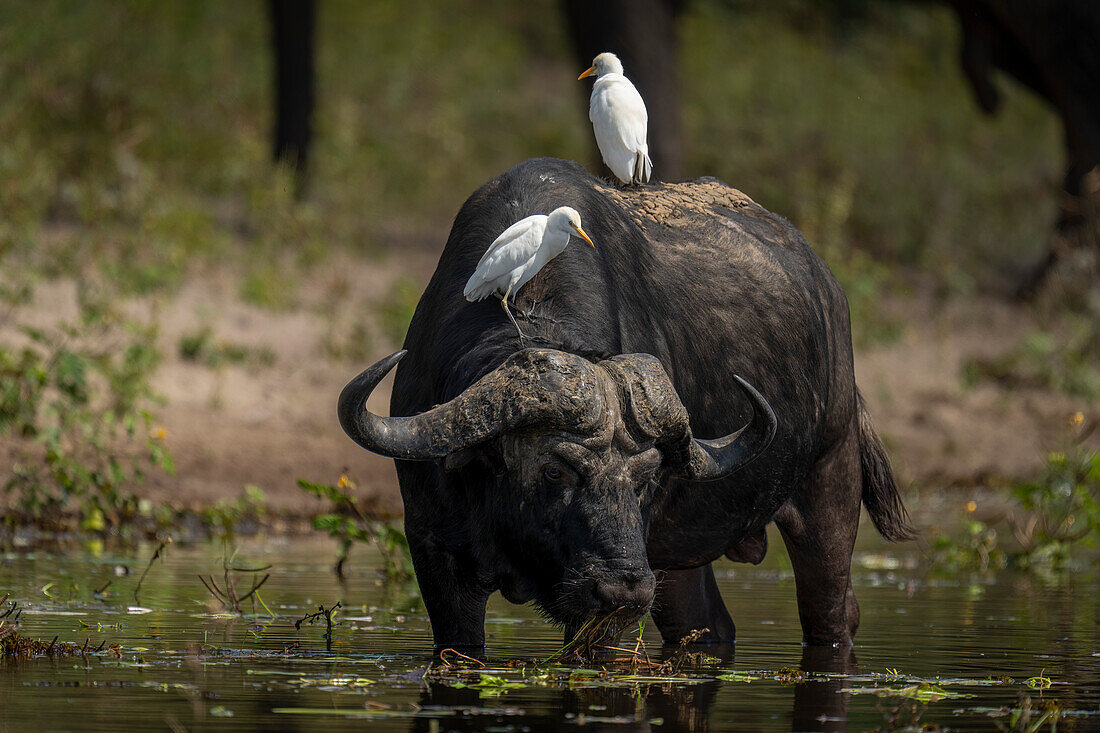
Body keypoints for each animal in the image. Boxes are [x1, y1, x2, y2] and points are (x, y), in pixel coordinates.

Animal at [334, 157, 910, 647]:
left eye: (648, 478)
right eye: (554, 470)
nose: (623, 588)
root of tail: (828, 289)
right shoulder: (435, 556)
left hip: (828, 485)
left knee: (832, 611)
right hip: (676, 565)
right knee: (707, 626)